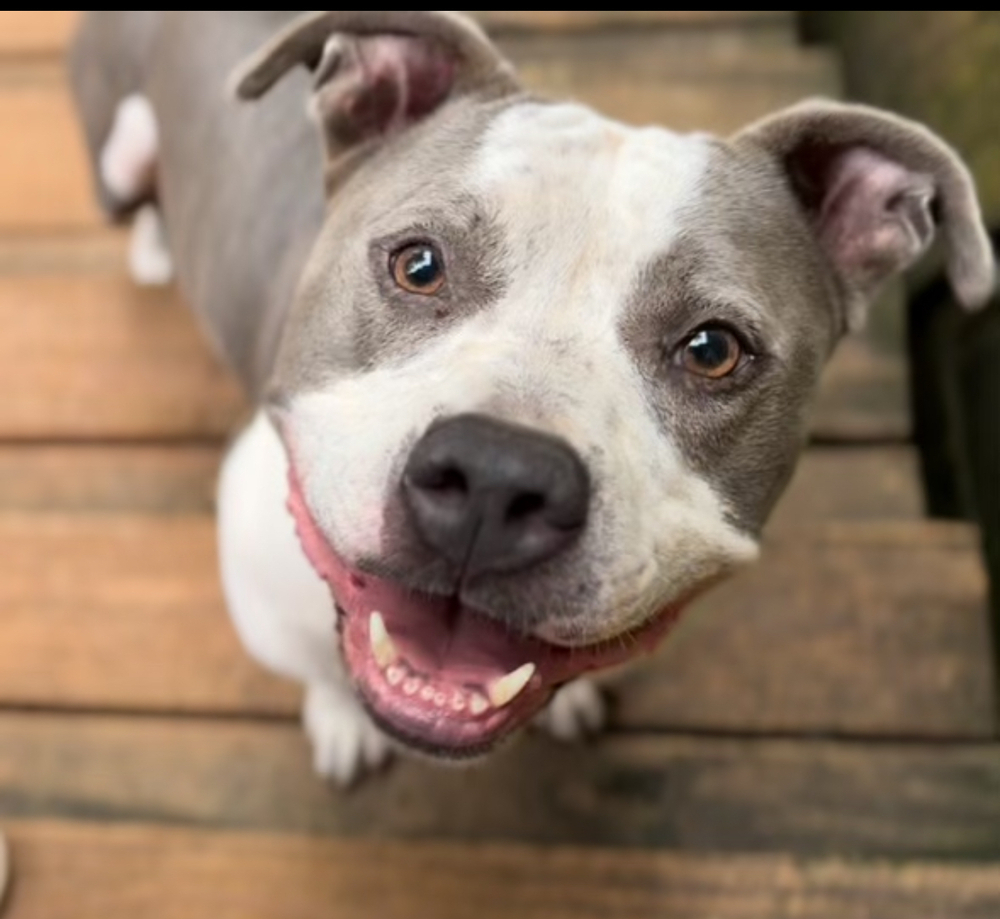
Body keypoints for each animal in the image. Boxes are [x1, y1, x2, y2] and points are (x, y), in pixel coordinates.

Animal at [68, 9, 992, 784]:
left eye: (713, 349)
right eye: (419, 264)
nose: (494, 477)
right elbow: (318, 673)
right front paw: (338, 720)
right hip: (119, 143)